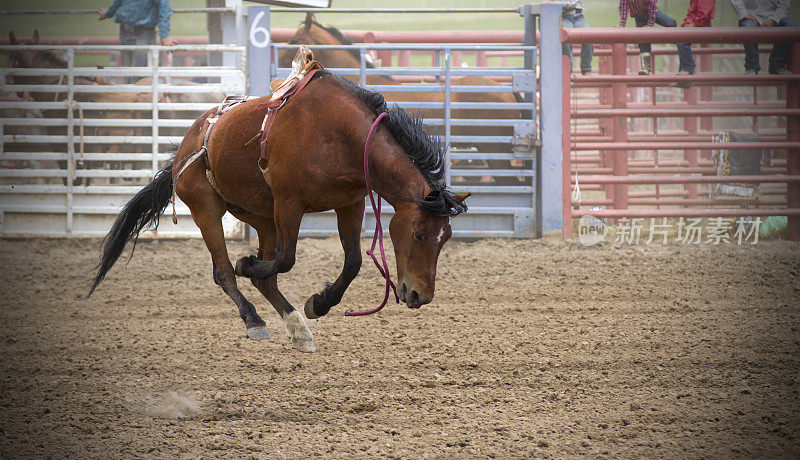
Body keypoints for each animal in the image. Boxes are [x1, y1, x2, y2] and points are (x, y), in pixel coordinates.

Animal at [89, 66, 468, 352]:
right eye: (419, 234)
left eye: (445, 238)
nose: (420, 295)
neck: (338, 132)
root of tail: (187, 144)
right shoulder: (289, 203)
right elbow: (286, 260)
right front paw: (247, 264)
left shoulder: (350, 202)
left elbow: (353, 262)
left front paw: (318, 303)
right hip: (207, 209)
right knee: (225, 272)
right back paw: (254, 317)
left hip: (260, 216)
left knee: (266, 279)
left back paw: (297, 327)